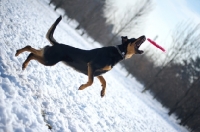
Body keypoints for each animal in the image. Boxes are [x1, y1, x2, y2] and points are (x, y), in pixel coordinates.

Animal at [15, 16, 145, 97]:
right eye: (134, 39)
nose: (144, 36)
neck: (119, 52)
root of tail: (57, 44)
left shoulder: (97, 72)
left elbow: (104, 81)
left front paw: (102, 92)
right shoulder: (92, 66)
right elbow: (91, 82)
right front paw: (82, 87)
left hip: (48, 56)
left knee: (30, 49)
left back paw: (20, 57)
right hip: (49, 60)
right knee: (31, 52)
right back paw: (21, 60)